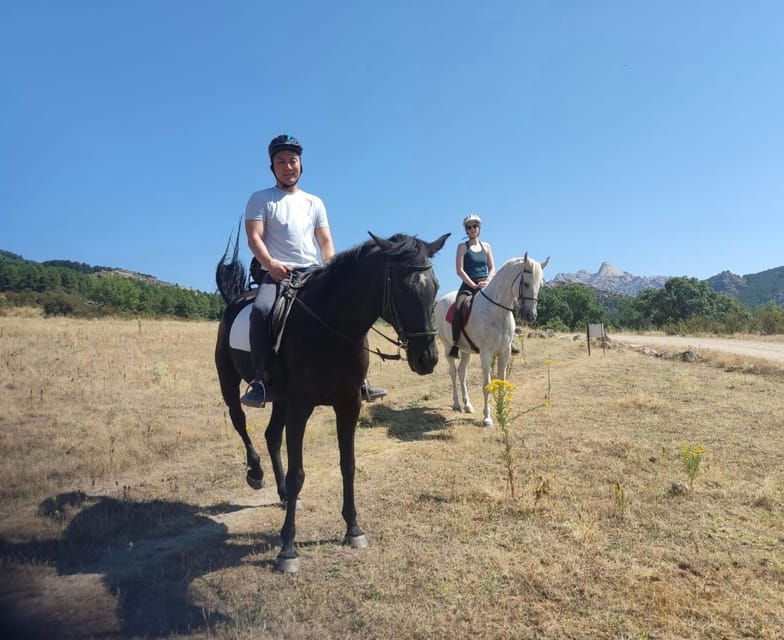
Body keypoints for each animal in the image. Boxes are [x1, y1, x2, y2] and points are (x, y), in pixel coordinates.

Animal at [215, 229, 449, 573]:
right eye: (401, 288)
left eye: (435, 285)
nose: (427, 359)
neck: (331, 325)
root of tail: (237, 300)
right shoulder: (301, 406)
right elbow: (298, 474)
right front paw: (288, 549)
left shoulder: (348, 404)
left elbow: (348, 465)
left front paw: (353, 529)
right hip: (231, 385)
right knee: (241, 423)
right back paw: (256, 474)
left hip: (281, 400)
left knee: (271, 436)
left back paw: (282, 494)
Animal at [434, 252, 549, 427]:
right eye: (526, 283)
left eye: (540, 285)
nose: (530, 316)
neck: (497, 311)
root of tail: (441, 301)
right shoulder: (486, 353)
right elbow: (486, 384)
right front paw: (487, 418)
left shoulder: (505, 351)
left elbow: (502, 380)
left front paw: (503, 414)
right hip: (448, 347)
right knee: (453, 372)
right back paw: (456, 404)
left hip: (466, 350)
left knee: (462, 373)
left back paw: (467, 405)